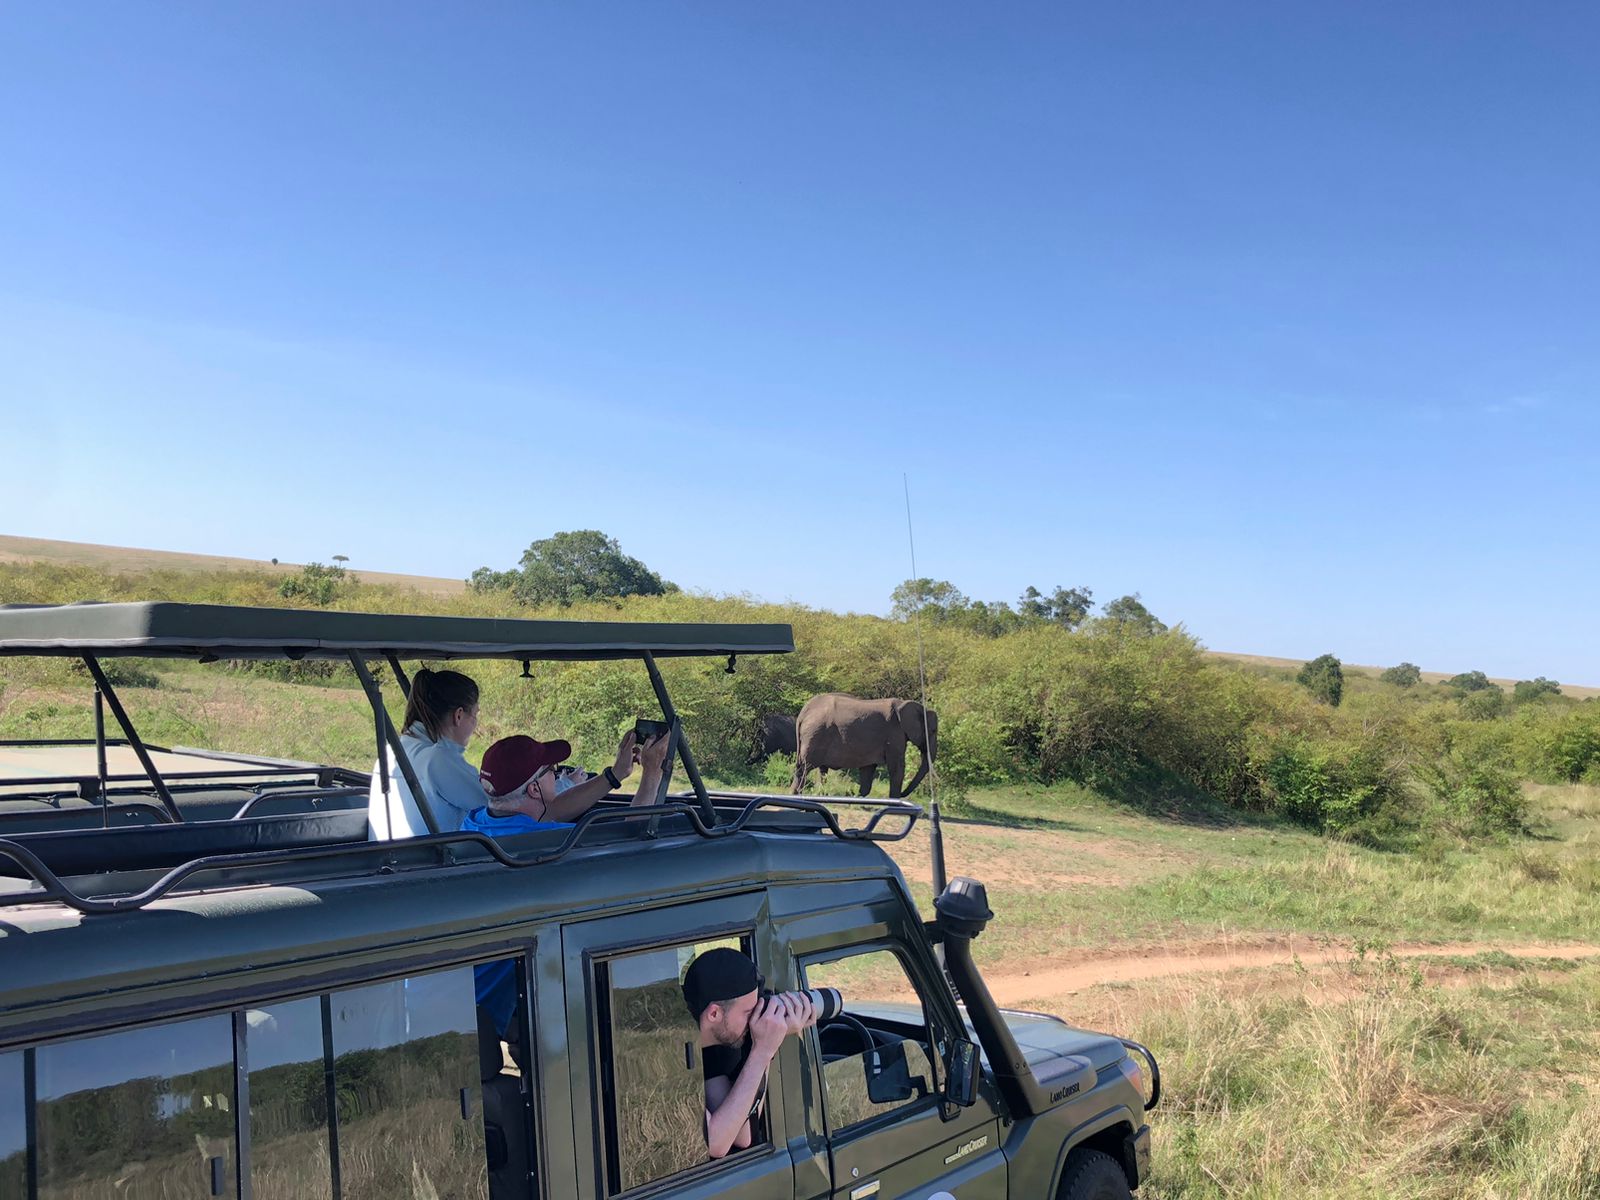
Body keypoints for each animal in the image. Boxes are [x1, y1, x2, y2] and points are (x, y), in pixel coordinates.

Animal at [790, 694, 934, 800]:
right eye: (933, 731)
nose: (903, 794)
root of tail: (803, 713)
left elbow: (868, 769)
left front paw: (854, 796)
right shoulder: (895, 734)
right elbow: (896, 767)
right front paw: (894, 802)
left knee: (814, 769)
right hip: (816, 734)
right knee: (805, 767)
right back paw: (797, 794)